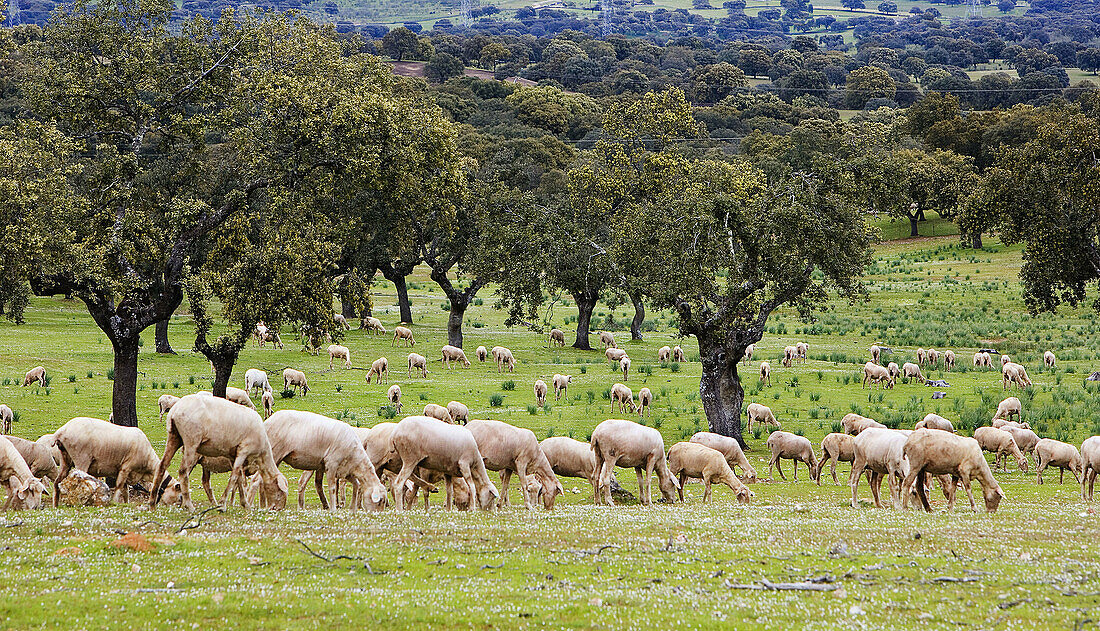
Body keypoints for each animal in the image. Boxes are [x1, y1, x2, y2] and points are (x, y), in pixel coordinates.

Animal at [149, 393, 288, 512]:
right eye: (280, 492)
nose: (278, 509)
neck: (262, 453)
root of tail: (175, 410)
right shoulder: (244, 450)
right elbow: (234, 477)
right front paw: (222, 505)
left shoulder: (233, 455)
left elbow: (238, 478)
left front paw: (245, 505)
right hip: (191, 441)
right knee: (183, 471)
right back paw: (189, 505)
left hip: (174, 436)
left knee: (162, 466)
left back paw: (152, 504)